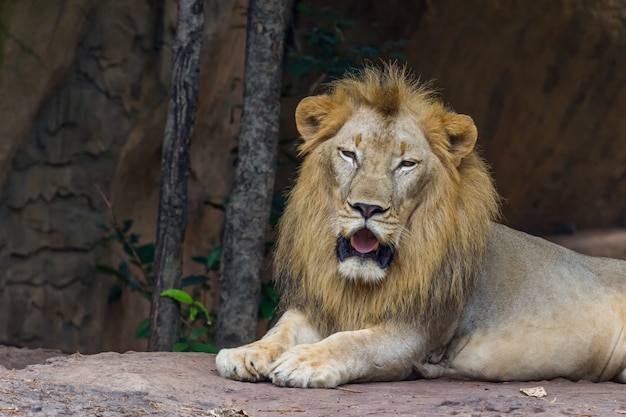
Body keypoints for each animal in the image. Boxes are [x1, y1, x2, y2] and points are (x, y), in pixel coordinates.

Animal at [214, 64, 624, 386]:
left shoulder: (413, 332)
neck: (360, 282)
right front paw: (245, 353)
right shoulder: (319, 302)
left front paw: (304, 361)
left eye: (406, 164)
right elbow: (280, 329)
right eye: (349, 154)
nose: (367, 207)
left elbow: (352, 341)